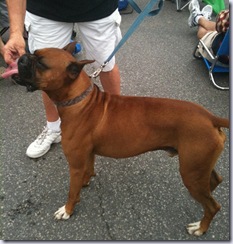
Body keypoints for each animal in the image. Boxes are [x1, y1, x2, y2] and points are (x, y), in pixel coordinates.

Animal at [17, 44, 228, 236]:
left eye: (41, 63)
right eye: (33, 53)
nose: (21, 58)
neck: (79, 100)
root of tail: (210, 117)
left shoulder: (75, 165)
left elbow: (71, 191)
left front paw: (67, 210)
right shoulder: (87, 156)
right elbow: (88, 171)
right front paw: (85, 182)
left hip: (190, 171)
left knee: (213, 206)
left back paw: (200, 228)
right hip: (198, 166)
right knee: (215, 181)